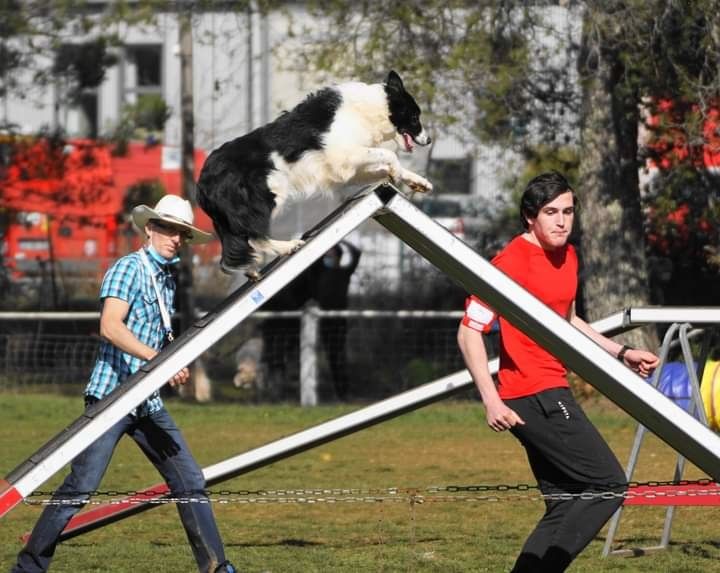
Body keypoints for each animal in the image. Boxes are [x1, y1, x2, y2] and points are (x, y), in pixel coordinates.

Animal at [197, 70, 434, 276]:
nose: (429, 140)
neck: (372, 110)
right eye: (415, 117)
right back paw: (287, 247)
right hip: (269, 194)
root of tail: (202, 183)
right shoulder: (344, 154)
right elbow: (389, 154)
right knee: (252, 237)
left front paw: (417, 181)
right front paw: (397, 172)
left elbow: (383, 167)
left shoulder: (345, 170)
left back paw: (253, 270)